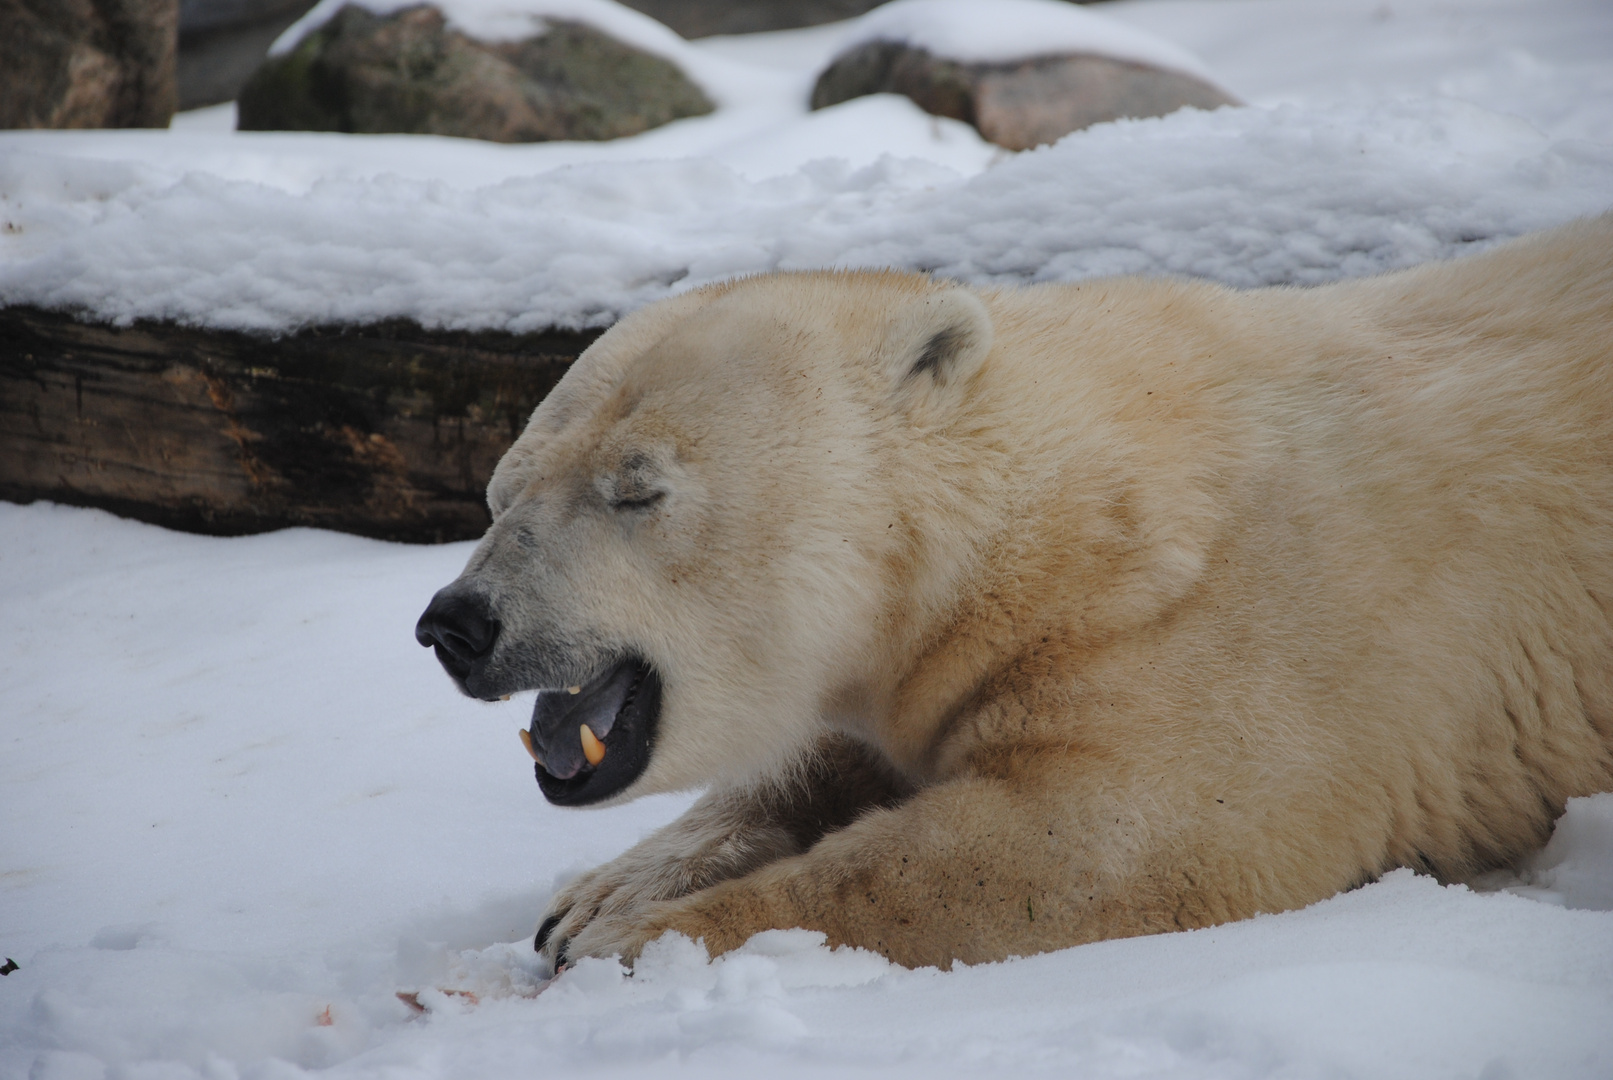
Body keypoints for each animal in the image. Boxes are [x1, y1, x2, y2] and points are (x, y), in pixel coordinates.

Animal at [419, 214, 1613, 973]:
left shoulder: (1240, 638)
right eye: (502, 488)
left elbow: (1095, 848)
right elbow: (827, 753)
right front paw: (599, 896)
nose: (456, 624)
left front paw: (636, 939)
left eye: (636, 489)